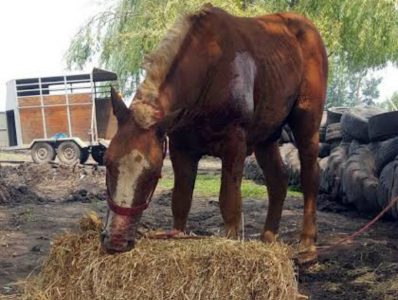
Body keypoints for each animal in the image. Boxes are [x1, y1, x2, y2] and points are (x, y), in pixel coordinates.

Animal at [101, 3, 328, 264]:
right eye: (107, 164)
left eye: (153, 174)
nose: (116, 241)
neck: (209, 69)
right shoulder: (181, 148)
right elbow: (181, 200)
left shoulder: (234, 144)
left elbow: (229, 201)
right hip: (266, 138)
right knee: (277, 181)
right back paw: (267, 239)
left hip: (306, 124)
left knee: (310, 176)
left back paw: (307, 245)